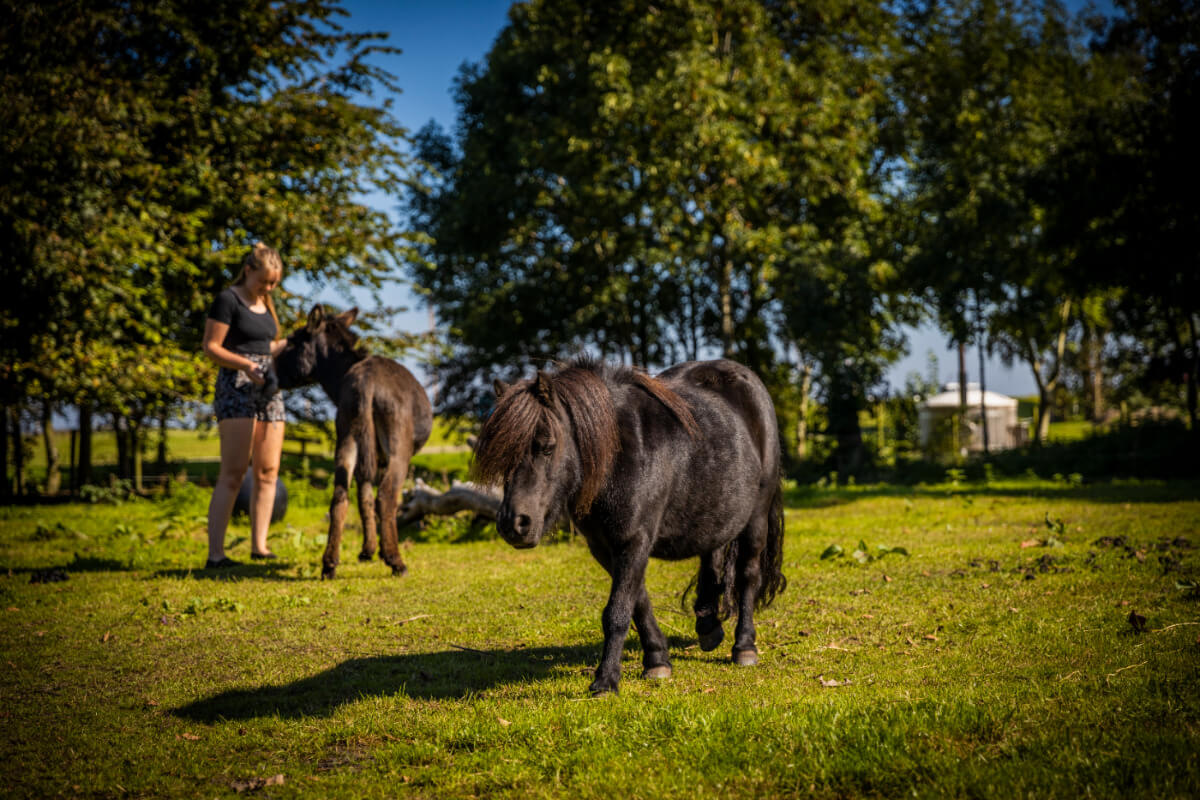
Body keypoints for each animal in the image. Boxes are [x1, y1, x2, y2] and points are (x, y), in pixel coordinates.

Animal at [274, 304, 434, 575]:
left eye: (293, 341)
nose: (270, 370)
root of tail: (366, 382)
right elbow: (374, 497)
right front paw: (376, 551)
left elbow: (363, 496)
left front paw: (367, 551)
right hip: (398, 449)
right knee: (387, 496)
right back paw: (396, 561)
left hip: (346, 438)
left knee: (340, 495)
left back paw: (329, 563)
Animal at [472, 357, 782, 695]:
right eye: (503, 454)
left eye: (547, 446)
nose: (514, 524)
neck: (619, 456)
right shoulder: (606, 546)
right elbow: (638, 603)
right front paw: (657, 660)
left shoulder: (633, 541)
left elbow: (618, 611)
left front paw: (606, 680)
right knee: (711, 559)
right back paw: (708, 628)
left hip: (756, 517)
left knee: (748, 574)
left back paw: (744, 646)